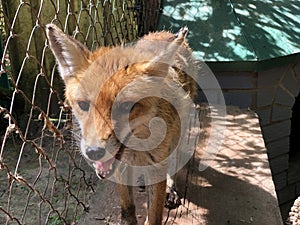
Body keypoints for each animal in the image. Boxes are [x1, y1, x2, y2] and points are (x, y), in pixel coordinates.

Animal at [46, 24, 199, 225]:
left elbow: (154, 215)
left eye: (126, 106)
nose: (94, 152)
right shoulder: (119, 166)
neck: (136, 149)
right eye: (83, 105)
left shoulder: (157, 163)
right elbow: (127, 207)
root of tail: (162, 32)